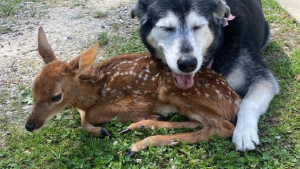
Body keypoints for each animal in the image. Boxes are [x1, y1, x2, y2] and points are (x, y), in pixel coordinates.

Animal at [132, 0, 280, 151]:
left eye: (198, 27)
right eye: (167, 28)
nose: (187, 64)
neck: (218, 47)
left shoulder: (261, 77)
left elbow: (249, 102)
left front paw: (244, 132)